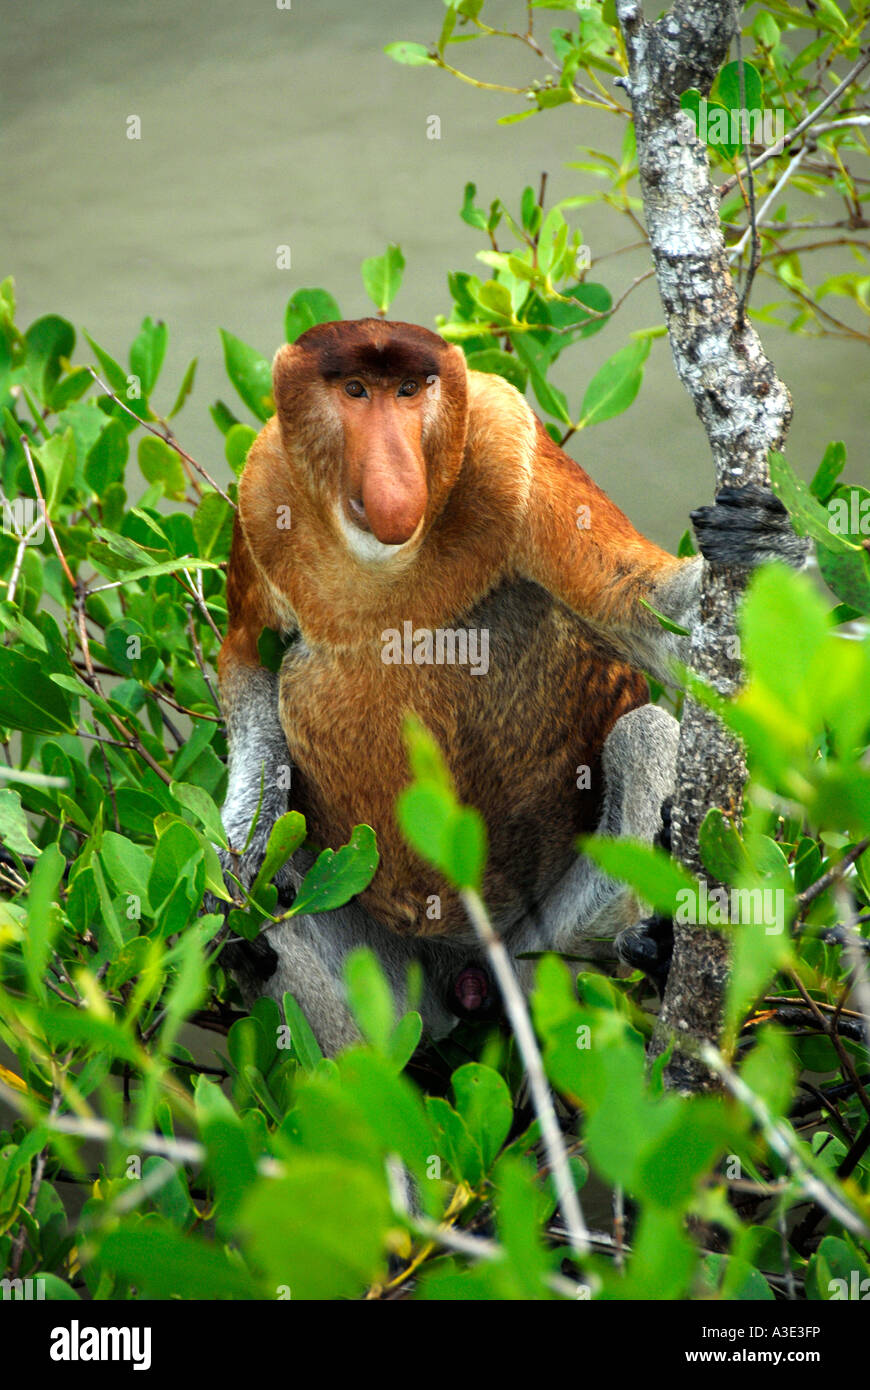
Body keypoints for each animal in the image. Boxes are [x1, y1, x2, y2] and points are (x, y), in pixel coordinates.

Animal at [213, 318, 807, 1055]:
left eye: (409, 391)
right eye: (354, 391)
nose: (395, 479)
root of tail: (465, 969)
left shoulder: (510, 444)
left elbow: (641, 609)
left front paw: (768, 546)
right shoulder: (263, 485)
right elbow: (248, 660)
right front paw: (236, 855)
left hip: (539, 945)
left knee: (645, 734)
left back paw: (650, 950)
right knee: (284, 897)